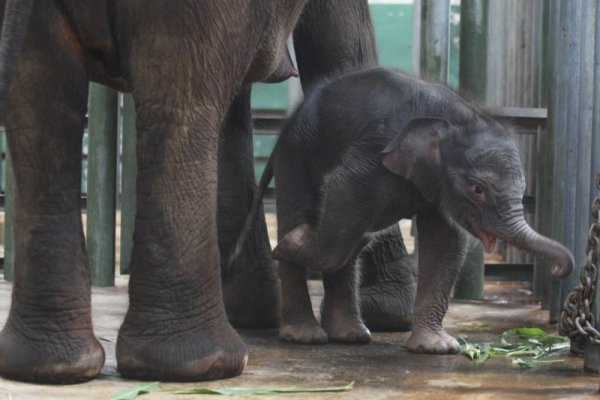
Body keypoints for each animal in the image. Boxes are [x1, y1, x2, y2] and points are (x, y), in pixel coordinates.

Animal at [233, 67, 572, 354]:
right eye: (477, 189)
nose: (559, 270)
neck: (459, 119)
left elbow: (445, 241)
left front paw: (436, 348)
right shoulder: (375, 152)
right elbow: (342, 189)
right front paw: (293, 240)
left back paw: (350, 333)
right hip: (297, 151)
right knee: (312, 211)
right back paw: (306, 333)